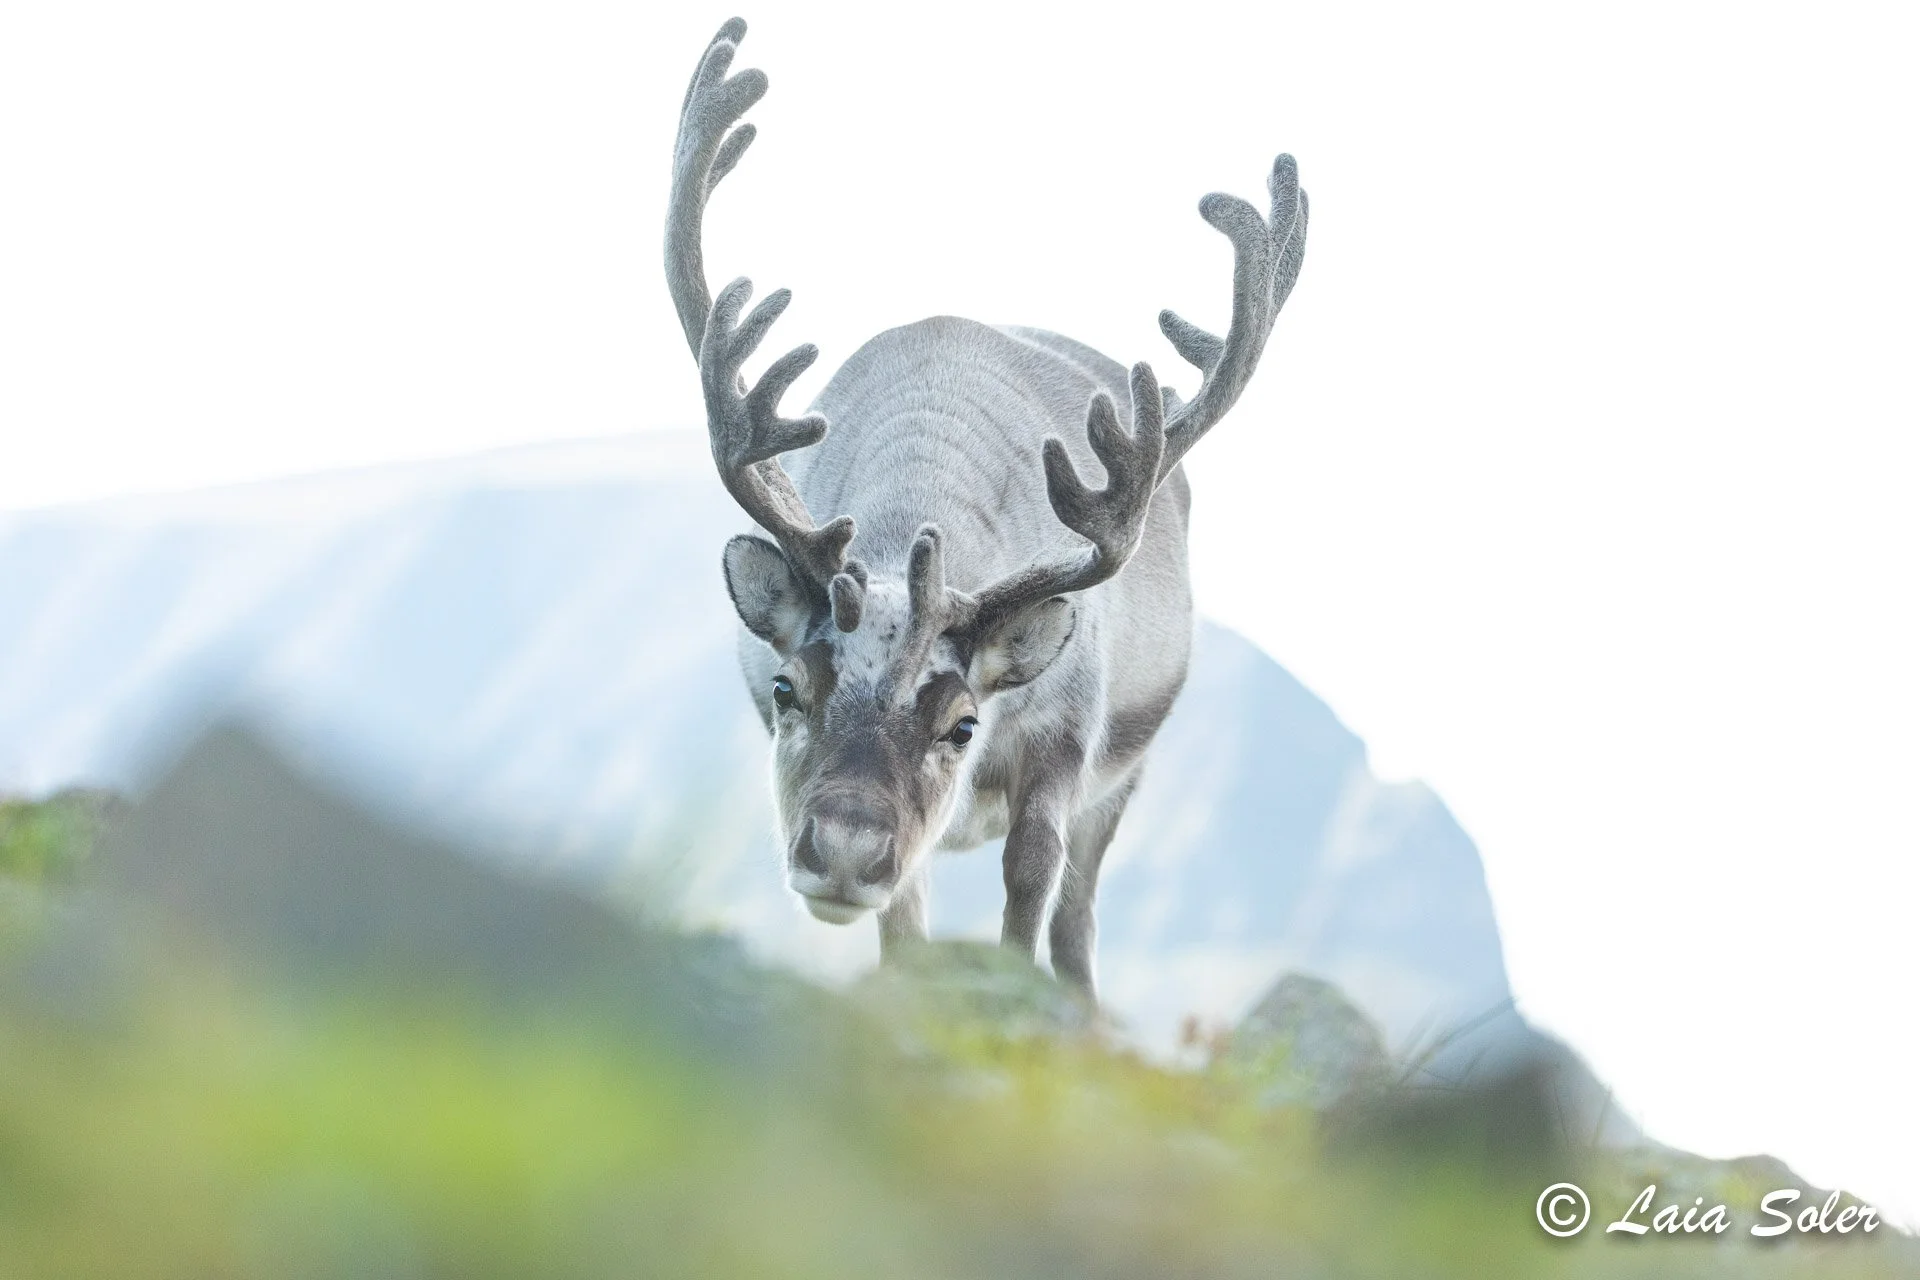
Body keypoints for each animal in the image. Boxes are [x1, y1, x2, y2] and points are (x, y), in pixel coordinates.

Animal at [667, 19, 1307, 998]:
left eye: (963, 723)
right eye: (786, 687)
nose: (844, 852)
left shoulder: (1066, 746)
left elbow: (1029, 892)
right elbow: (905, 931)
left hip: (1129, 771)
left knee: (1078, 920)